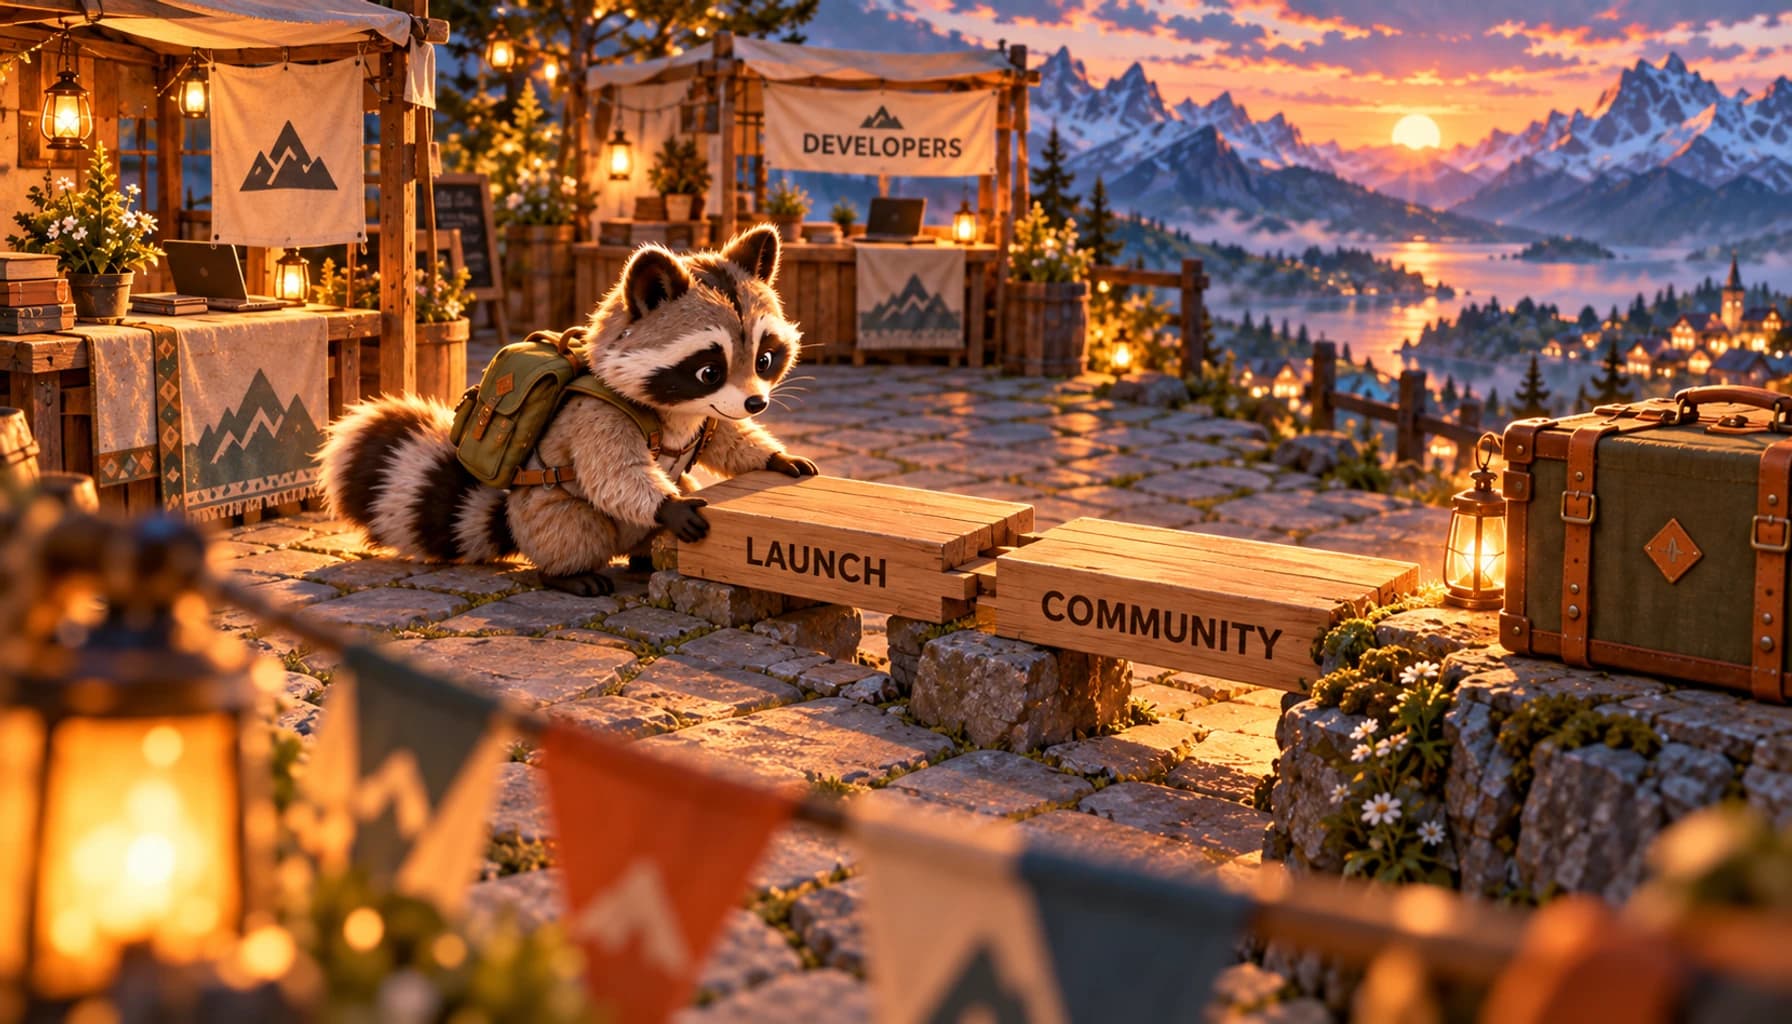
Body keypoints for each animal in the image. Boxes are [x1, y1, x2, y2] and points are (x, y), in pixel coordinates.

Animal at [317, 225, 816, 596]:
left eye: (764, 359)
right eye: (709, 371)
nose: (757, 402)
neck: (675, 410)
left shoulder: (708, 419)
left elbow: (728, 439)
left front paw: (774, 455)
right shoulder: (597, 416)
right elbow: (613, 474)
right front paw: (669, 507)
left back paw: (647, 556)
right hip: (545, 514)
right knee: (574, 526)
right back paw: (566, 573)